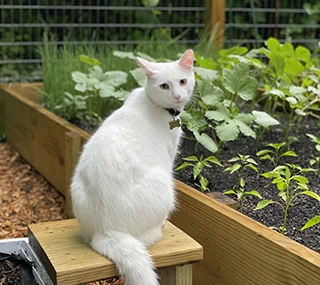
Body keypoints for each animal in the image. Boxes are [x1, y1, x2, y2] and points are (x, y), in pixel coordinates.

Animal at [70, 49, 195, 284]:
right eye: (164, 86)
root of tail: (105, 230)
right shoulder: (170, 154)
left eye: (183, 81)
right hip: (164, 184)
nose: (177, 96)